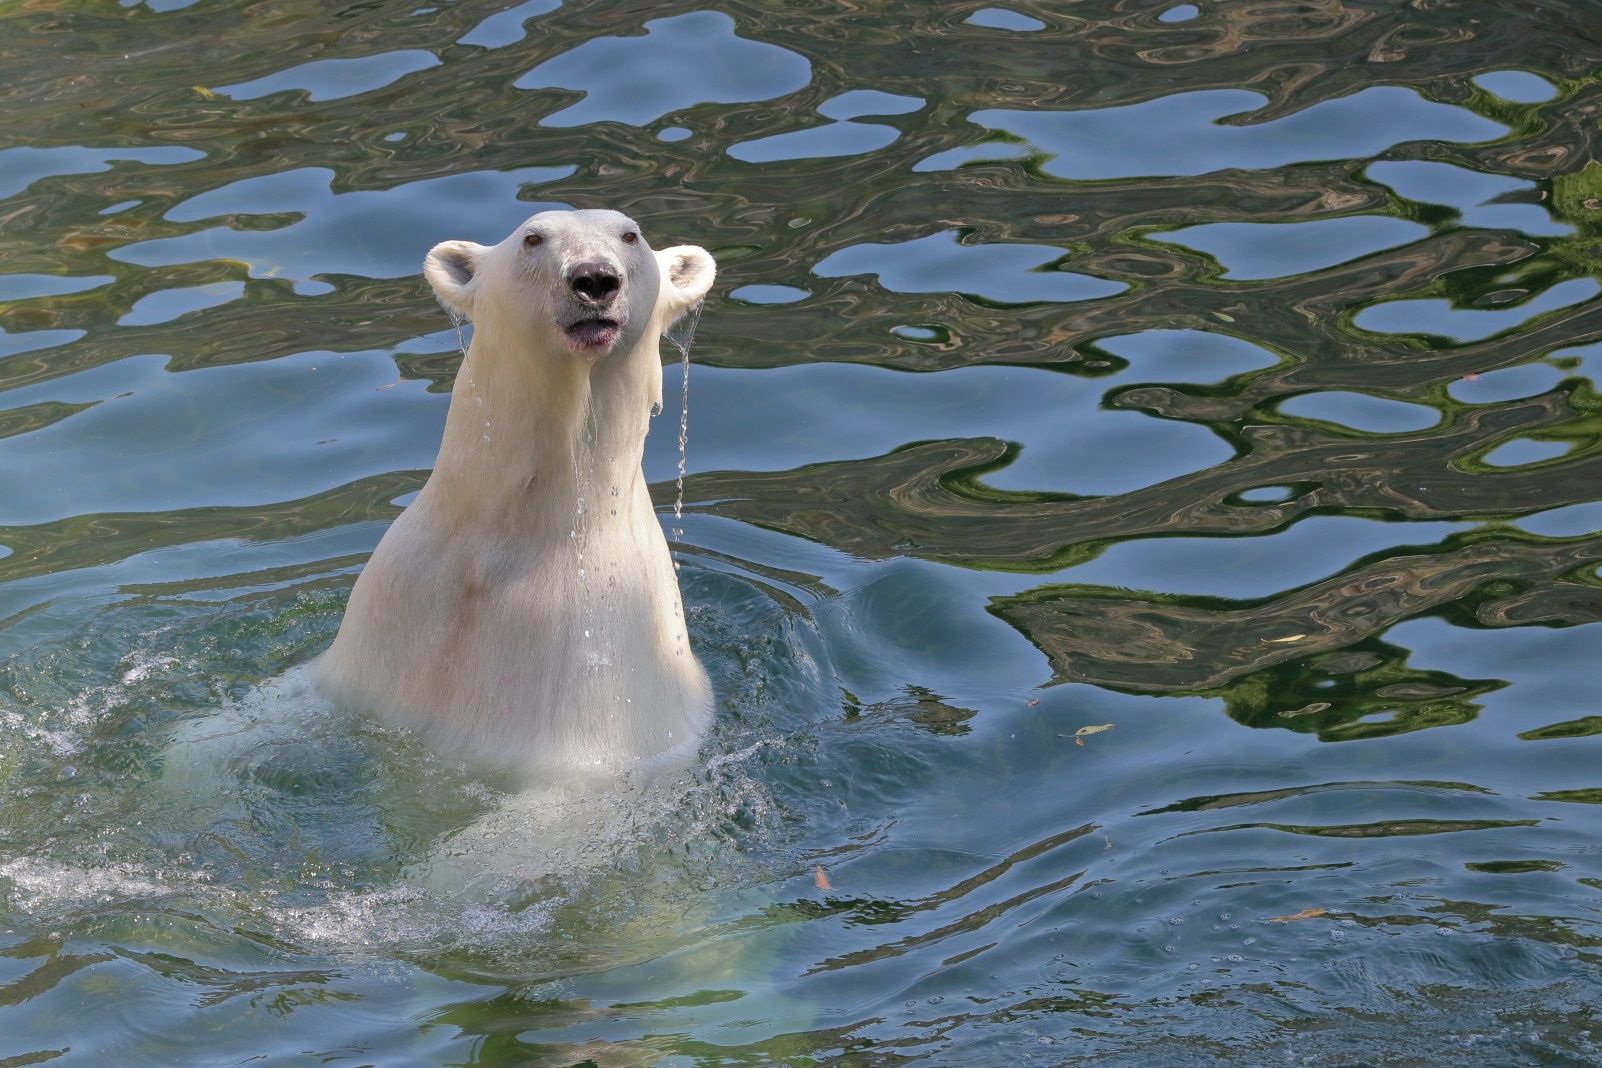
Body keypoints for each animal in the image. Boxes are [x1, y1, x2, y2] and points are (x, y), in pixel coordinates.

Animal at [312, 208, 714, 784]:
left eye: (629, 235)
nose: (595, 279)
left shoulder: (596, 660)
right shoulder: (389, 614)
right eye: (533, 237)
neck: (518, 535)